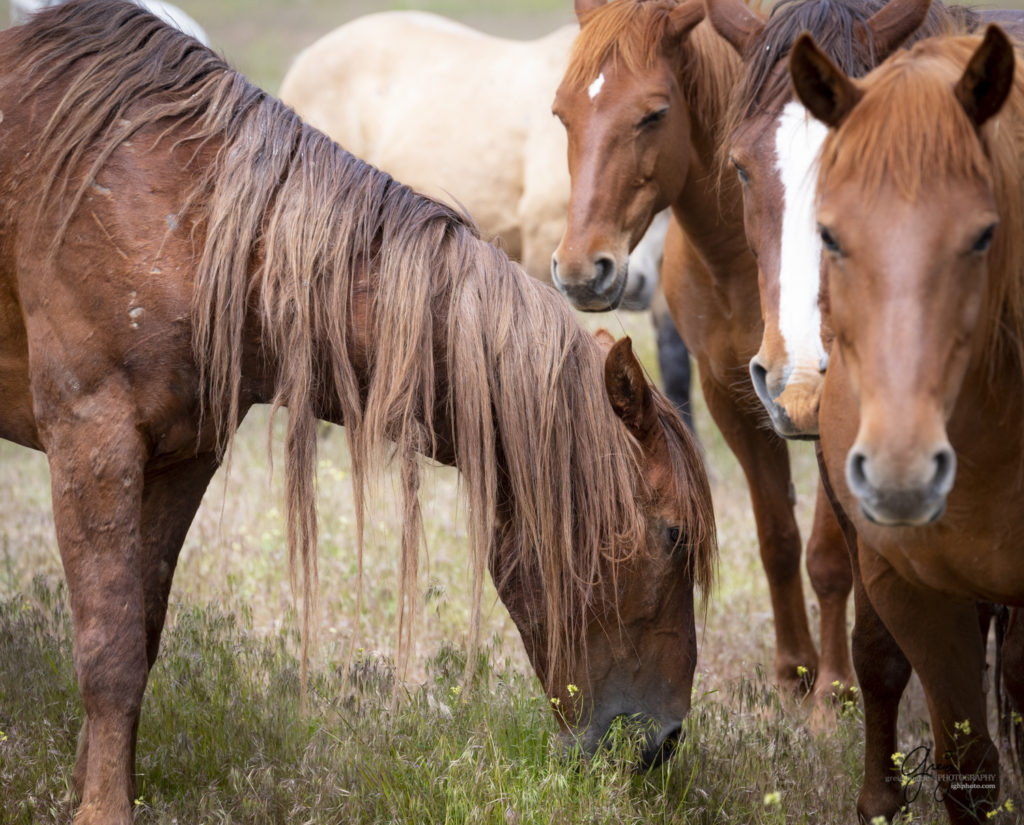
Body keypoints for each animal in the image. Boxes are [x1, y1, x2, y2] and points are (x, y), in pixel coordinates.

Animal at [552, 0, 847, 696]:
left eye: (655, 113)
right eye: (562, 113)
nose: (581, 272)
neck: (743, 259)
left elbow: (829, 554)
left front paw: (835, 688)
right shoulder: (728, 394)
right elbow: (778, 538)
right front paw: (794, 673)